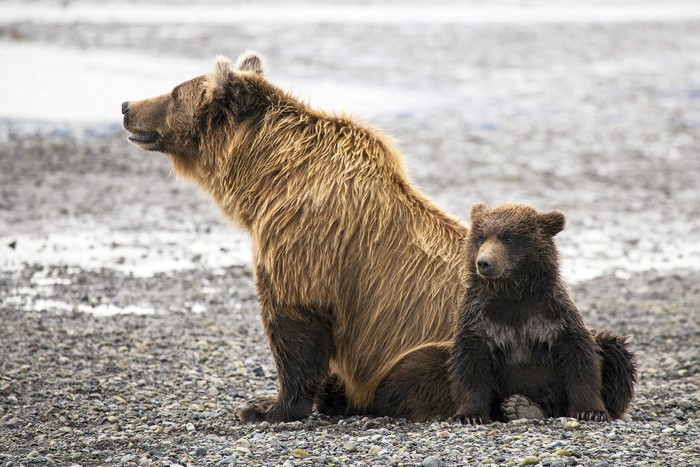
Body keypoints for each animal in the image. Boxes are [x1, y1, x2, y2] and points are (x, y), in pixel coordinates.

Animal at [122, 51, 468, 422]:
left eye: (174, 93)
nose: (127, 106)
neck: (268, 177)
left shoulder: (303, 239)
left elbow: (293, 319)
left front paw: (268, 406)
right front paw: (322, 394)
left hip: (444, 342)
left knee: (412, 378)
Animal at [448, 203, 636, 424]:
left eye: (508, 237)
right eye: (481, 237)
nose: (484, 262)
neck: (513, 293)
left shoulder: (552, 314)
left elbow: (581, 357)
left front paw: (591, 411)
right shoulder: (480, 319)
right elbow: (469, 363)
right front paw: (470, 415)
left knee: (616, 352)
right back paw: (520, 407)